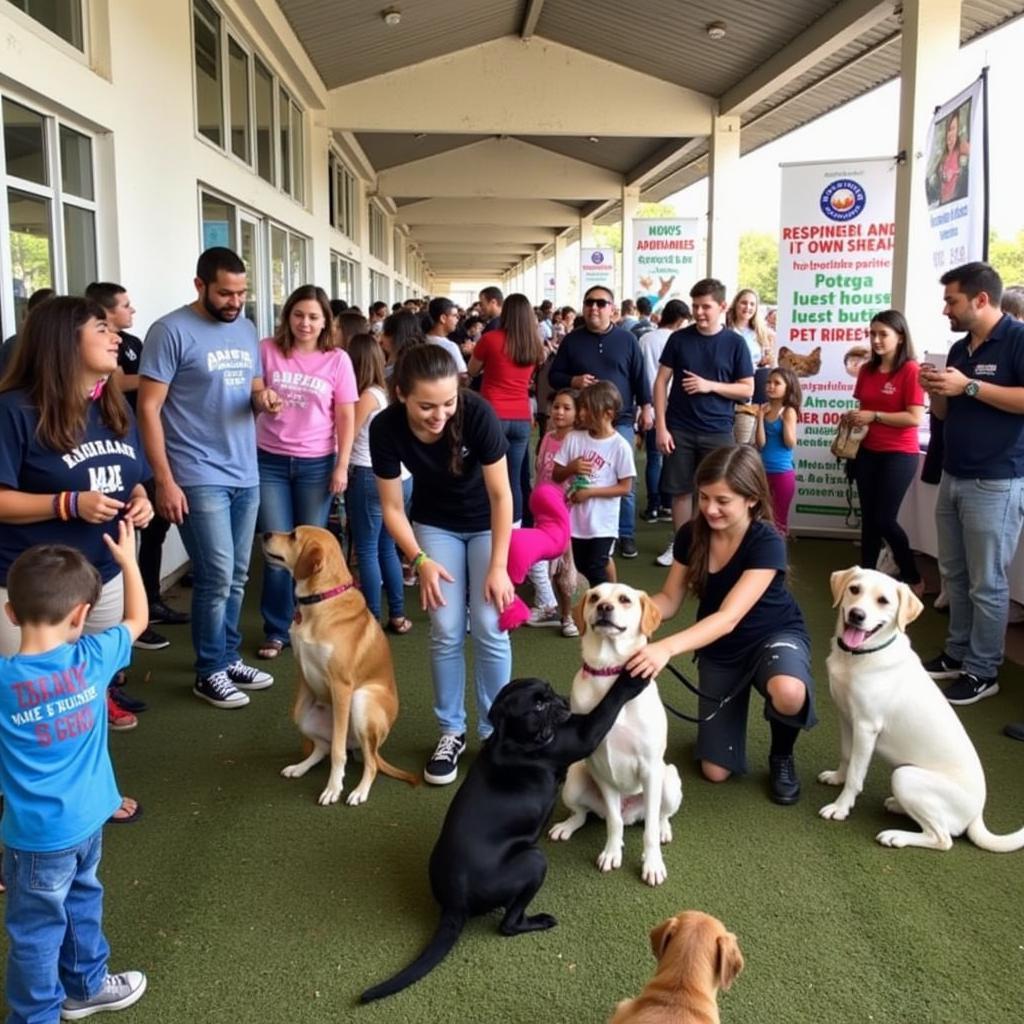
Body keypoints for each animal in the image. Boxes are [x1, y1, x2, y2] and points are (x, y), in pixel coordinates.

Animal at [262, 528, 417, 806]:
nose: (265, 533)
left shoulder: (342, 686)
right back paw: (299, 767)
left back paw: (359, 791)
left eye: (293, 536)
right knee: (323, 747)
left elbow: (337, 752)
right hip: (302, 713)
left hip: (361, 701)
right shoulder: (303, 674)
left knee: (368, 762)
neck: (321, 600)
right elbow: (326, 747)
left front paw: (333, 788)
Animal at [360, 667, 647, 1003]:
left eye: (549, 692)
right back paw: (540, 920)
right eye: (538, 705)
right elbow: (609, 703)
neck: (511, 738)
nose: (563, 701)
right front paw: (633, 678)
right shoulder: (580, 736)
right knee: (508, 924)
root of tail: (454, 905)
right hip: (534, 860)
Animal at [548, 585, 684, 888]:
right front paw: (611, 853)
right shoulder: (600, 769)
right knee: (585, 815)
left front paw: (652, 864)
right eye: (595, 597)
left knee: (659, 815)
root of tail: (632, 812)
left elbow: (648, 831)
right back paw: (567, 826)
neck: (610, 677)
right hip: (574, 779)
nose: (604, 608)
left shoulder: (650, 769)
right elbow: (613, 821)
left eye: (624, 599)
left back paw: (664, 829)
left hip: (669, 779)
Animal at [819, 565, 1019, 851]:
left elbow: (856, 775)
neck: (858, 657)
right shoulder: (846, 717)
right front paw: (837, 778)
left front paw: (840, 808)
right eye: (854, 589)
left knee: (943, 838)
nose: (857, 615)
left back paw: (895, 836)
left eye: (883, 601)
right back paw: (896, 805)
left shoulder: (866, 727)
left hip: (905, 777)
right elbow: (847, 756)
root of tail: (977, 814)